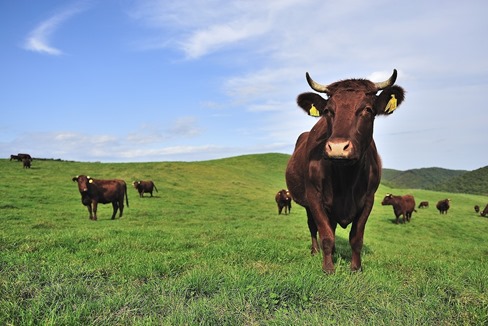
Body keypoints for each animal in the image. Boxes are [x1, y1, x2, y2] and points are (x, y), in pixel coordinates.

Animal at [284, 69, 406, 272]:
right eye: (328, 111)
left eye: (367, 110)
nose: (337, 147)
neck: (345, 179)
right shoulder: (314, 197)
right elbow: (325, 235)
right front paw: (328, 268)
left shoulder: (368, 199)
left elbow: (356, 238)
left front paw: (356, 268)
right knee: (313, 227)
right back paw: (315, 251)